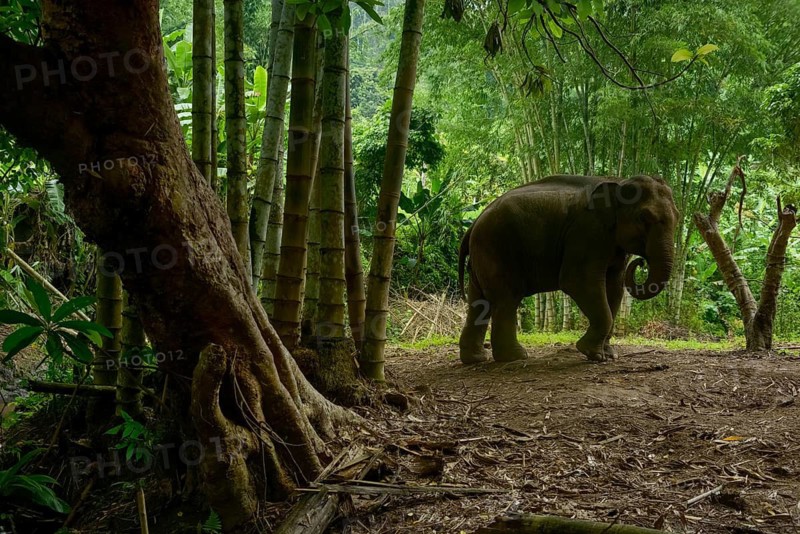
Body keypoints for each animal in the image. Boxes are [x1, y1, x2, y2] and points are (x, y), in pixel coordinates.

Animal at [458, 174, 679, 364]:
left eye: (678, 217)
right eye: (644, 218)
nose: (640, 262)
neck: (618, 181)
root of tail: (473, 224)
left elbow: (615, 287)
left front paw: (609, 355)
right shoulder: (587, 232)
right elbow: (577, 281)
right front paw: (593, 354)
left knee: (479, 302)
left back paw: (476, 359)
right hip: (497, 249)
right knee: (507, 300)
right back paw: (515, 357)